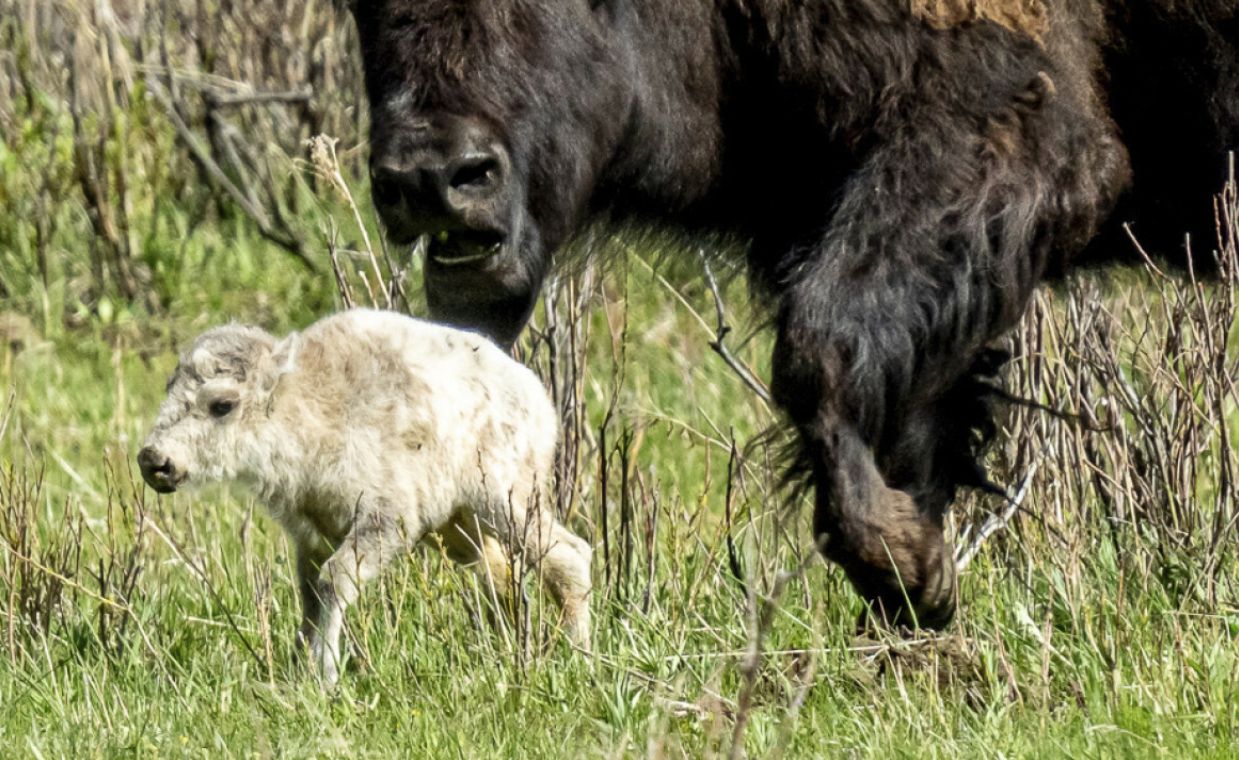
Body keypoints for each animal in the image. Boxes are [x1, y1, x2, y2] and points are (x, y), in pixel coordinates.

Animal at [138, 308, 592, 679]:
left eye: (222, 405)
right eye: (169, 388)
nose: (154, 460)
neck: (308, 404)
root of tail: (536, 395)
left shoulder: (384, 520)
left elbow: (333, 582)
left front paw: (324, 673)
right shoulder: (312, 535)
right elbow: (310, 596)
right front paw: (298, 668)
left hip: (506, 500)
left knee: (568, 555)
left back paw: (576, 654)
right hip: (460, 528)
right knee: (503, 576)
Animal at [341, 0, 1239, 624]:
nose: (433, 177)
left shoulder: (1004, 137)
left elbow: (820, 349)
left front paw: (902, 566)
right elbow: (902, 415)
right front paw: (917, 593)